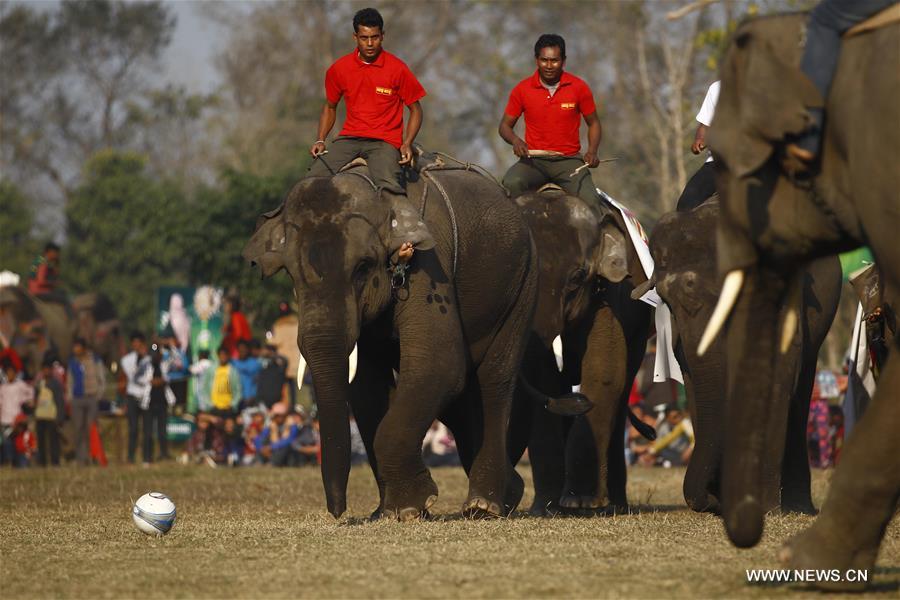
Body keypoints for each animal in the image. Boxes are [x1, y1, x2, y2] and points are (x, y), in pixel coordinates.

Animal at [243, 162, 560, 516]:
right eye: (290, 273)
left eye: (363, 267)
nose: (338, 512)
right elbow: (366, 387)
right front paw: (390, 511)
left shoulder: (427, 265)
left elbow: (438, 364)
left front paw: (412, 507)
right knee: (460, 401)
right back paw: (510, 493)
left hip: (523, 285)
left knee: (494, 380)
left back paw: (484, 505)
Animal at [506, 185, 652, 512]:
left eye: (577, 277)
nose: (578, 402)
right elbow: (543, 378)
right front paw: (546, 509)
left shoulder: (609, 296)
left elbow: (603, 371)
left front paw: (580, 502)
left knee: (622, 390)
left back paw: (613, 504)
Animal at [628, 198, 840, 516]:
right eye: (665, 299)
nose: (712, 500)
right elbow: (694, 381)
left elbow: (778, 370)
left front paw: (764, 508)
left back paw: (797, 505)